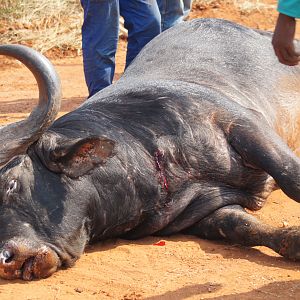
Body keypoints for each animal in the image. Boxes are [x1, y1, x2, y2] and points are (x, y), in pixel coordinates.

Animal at [0, 19, 300, 282]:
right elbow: (244, 227)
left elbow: (291, 178)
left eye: (11, 184)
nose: (6, 259)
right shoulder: (205, 211)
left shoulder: (242, 123)